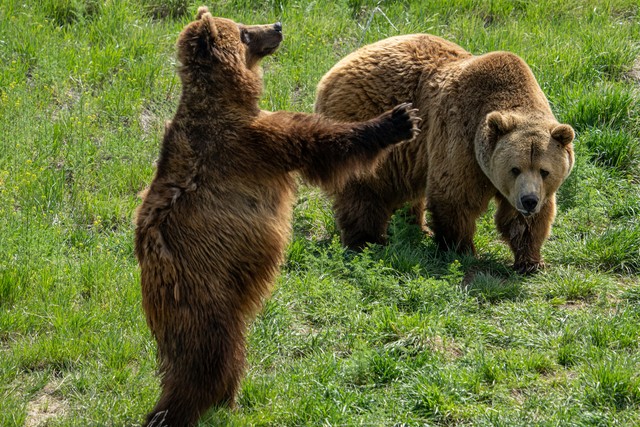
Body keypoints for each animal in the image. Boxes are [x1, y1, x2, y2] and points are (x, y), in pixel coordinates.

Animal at [134, 8, 419, 427]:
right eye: (244, 32)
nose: (277, 26)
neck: (227, 99)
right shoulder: (254, 143)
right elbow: (317, 143)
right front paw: (397, 119)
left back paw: (221, 400)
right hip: (206, 293)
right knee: (209, 355)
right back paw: (189, 408)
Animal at [314, 33, 575, 274]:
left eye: (544, 171)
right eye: (514, 169)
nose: (529, 200)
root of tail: (332, 72)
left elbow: (525, 221)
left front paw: (531, 261)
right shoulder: (461, 139)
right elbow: (454, 196)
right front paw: (462, 250)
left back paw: (416, 227)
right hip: (367, 118)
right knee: (365, 188)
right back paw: (366, 241)